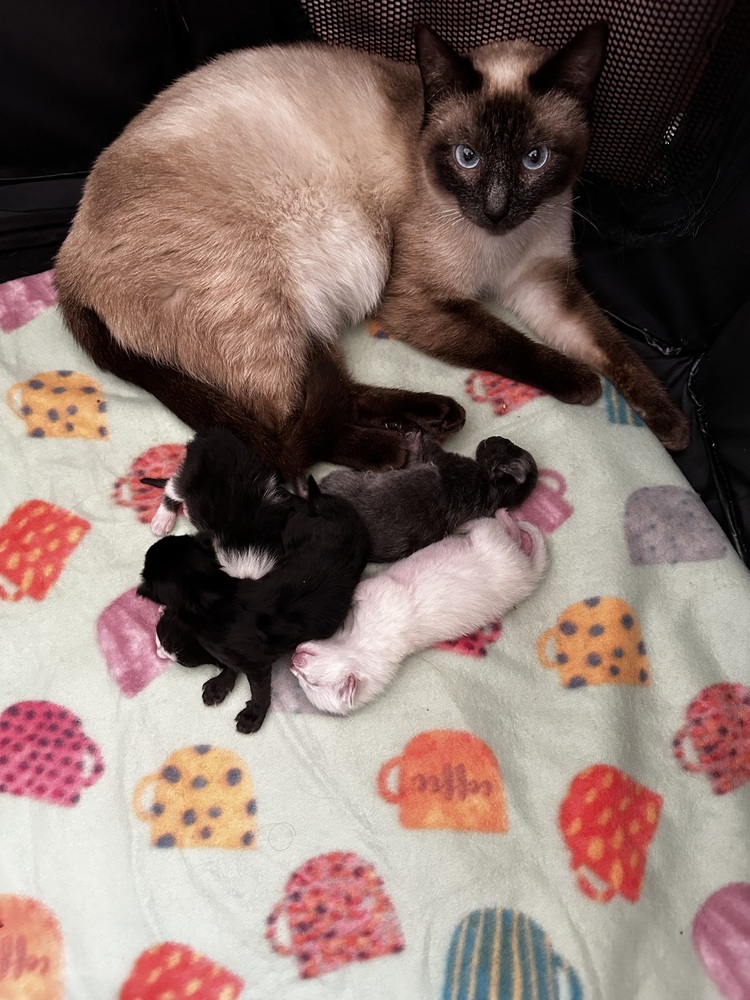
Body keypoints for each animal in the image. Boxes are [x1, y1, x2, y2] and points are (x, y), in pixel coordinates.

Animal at [53, 22, 692, 476]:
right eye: (467, 157)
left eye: (535, 160)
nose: (496, 207)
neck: (502, 245)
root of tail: (65, 266)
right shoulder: (418, 300)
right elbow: (510, 343)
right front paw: (581, 385)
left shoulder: (542, 282)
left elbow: (613, 347)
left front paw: (671, 425)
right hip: (301, 287)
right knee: (288, 431)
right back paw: (399, 447)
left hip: (306, 316)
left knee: (324, 397)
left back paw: (435, 415)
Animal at [290, 512, 548, 716]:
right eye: (304, 684)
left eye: (310, 682)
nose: (292, 661)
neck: (359, 646)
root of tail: (529, 578)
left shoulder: (382, 595)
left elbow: (363, 587)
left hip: (493, 543)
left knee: (498, 528)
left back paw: (490, 518)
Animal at [320, 432, 536, 564]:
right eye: (510, 444)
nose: (491, 438)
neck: (496, 488)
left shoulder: (438, 462)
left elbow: (424, 453)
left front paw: (415, 437)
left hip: (342, 479)